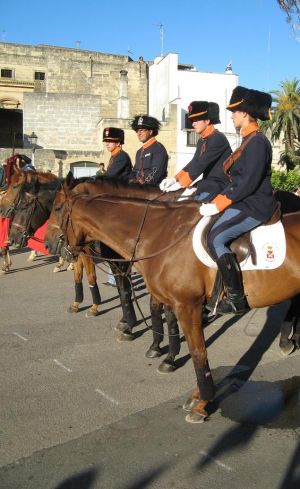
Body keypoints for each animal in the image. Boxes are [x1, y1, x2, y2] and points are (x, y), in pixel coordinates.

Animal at [54, 177, 300, 422]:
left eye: (57, 208)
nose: (54, 248)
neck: (159, 232)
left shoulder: (187, 305)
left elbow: (198, 351)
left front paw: (201, 401)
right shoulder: (169, 297)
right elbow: (166, 320)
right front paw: (164, 354)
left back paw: (287, 342)